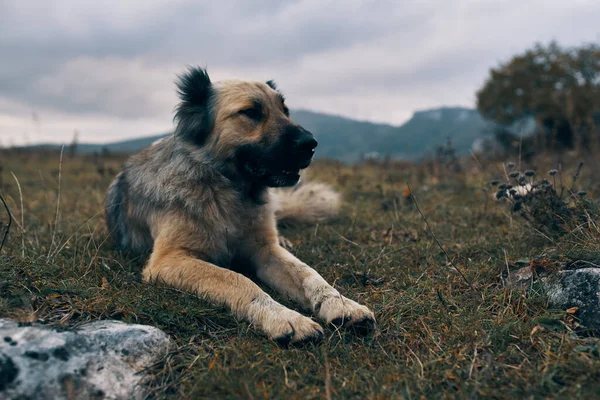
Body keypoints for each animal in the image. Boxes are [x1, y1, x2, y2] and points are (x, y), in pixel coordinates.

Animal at [104, 68, 376, 344]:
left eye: (285, 110)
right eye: (251, 112)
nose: (310, 143)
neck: (228, 192)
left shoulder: (266, 251)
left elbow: (309, 274)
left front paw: (341, 304)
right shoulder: (170, 259)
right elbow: (238, 279)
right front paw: (284, 317)